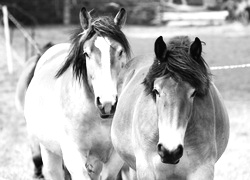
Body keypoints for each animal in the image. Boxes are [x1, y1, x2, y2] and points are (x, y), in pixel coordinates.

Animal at [23, 6, 131, 179]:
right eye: (86, 53)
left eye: (120, 52)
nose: (107, 103)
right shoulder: (74, 157)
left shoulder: (114, 158)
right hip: (48, 152)